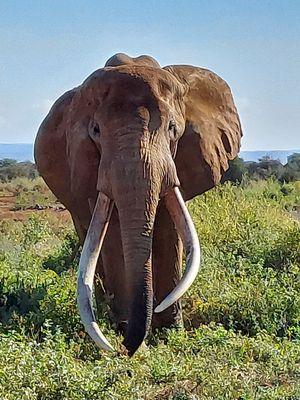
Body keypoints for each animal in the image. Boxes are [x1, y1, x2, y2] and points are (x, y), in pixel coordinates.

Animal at [34, 53, 243, 356]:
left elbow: (169, 230)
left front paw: (169, 333)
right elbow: (111, 234)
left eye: (173, 129)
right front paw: (126, 332)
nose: (122, 349)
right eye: (95, 130)